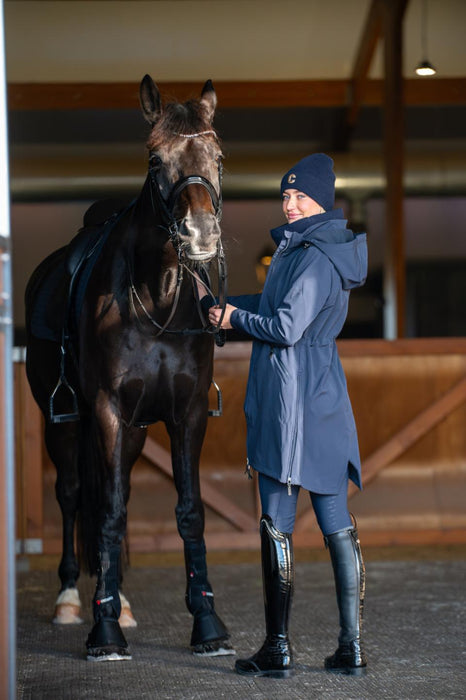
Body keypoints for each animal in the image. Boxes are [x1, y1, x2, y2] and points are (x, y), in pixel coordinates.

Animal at [24, 76, 232, 660]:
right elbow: (108, 511)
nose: (200, 234)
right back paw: (72, 598)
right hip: (65, 425)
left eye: (218, 158)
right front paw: (104, 630)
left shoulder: (186, 413)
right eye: (155, 158)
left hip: (136, 431)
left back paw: (121, 599)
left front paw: (207, 623)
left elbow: (188, 510)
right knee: (75, 495)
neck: (156, 300)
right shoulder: (106, 412)